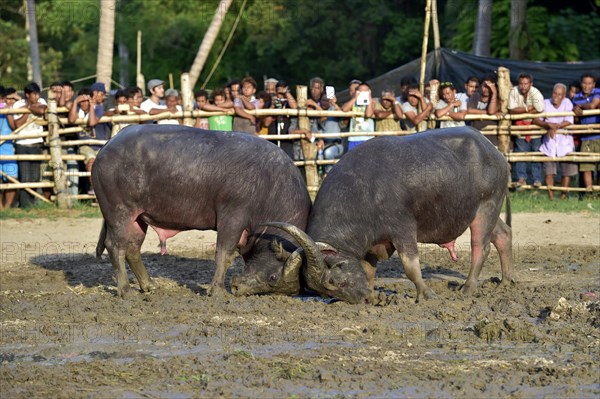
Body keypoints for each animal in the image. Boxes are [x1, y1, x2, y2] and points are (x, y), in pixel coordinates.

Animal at [92, 125, 314, 296]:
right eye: (273, 277)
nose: (238, 288)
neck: (269, 186)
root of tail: (107, 147)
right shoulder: (232, 216)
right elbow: (224, 254)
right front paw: (217, 291)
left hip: (138, 218)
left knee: (132, 248)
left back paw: (149, 286)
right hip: (119, 212)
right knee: (115, 246)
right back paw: (126, 291)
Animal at [270, 126, 512, 304]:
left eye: (336, 281)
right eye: (326, 292)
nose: (362, 299)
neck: (364, 193)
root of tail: (494, 151)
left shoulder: (403, 229)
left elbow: (410, 266)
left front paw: (427, 295)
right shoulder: (370, 244)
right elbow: (368, 269)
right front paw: (373, 294)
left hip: (487, 207)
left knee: (481, 247)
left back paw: (468, 289)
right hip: (486, 211)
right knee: (503, 234)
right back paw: (505, 282)